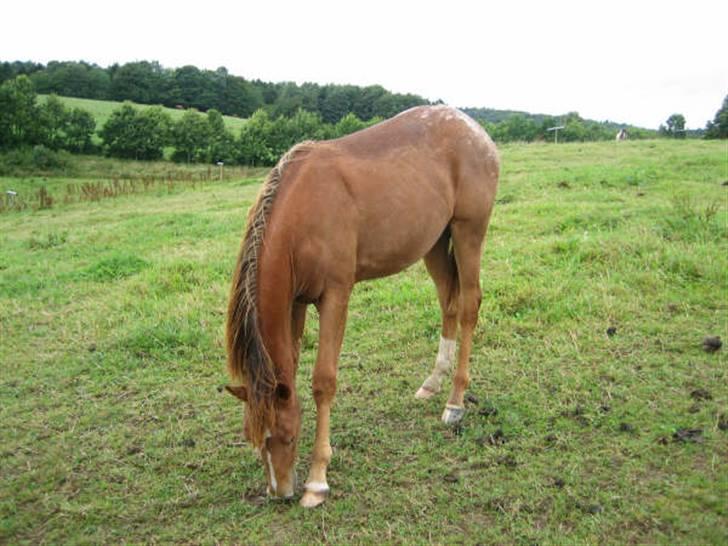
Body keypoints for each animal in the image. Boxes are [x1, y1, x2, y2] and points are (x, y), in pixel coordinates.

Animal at [226, 105, 500, 506]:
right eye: (253, 437)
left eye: (286, 436)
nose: (280, 492)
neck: (304, 211)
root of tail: (476, 131)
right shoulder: (296, 302)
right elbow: (292, 365)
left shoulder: (335, 295)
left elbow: (323, 381)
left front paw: (317, 480)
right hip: (434, 242)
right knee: (448, 303)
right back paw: (432, 383)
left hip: (469, 232)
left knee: (468, 306)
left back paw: (455, 402)